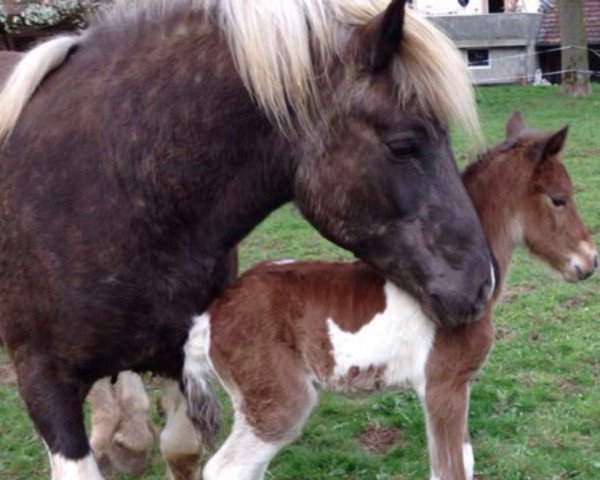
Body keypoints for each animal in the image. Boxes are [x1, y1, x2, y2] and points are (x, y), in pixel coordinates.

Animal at [185, 113, 596, 480]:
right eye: (559, 199)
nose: (590, 261)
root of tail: (211, 315)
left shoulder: (458, 386)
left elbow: (465, 463)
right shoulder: (442, 386)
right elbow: (449, 471)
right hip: (279, 403)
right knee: (226, 468)